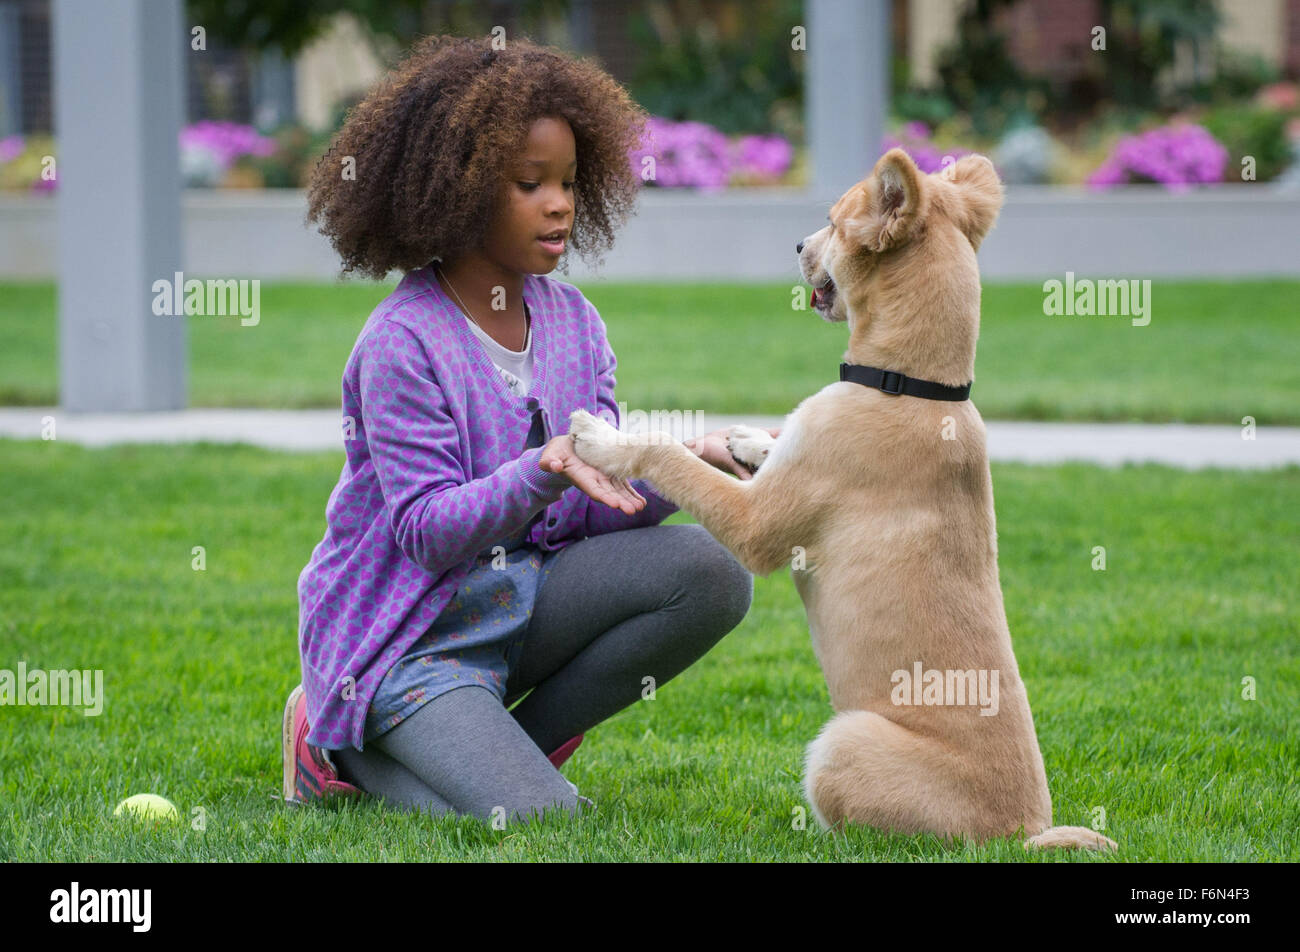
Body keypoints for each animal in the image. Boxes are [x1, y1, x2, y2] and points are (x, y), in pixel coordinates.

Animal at [569, 146, 1118, 847]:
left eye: (832, 223)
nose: (799, 243)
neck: (911, 384)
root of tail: (1018, 835)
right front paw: (749, 440)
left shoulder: (756, 525)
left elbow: (667, 453)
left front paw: (604, 439)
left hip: (842, 742)